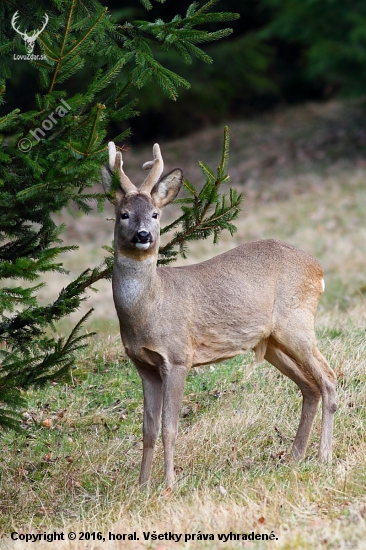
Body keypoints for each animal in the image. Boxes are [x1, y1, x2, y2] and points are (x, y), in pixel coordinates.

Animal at [101, 141, 336, 488]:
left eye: (156, 214)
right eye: (124, 214)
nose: (144, 235)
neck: (149, 308)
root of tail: (318, 269)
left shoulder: (178, 356)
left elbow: (170, 427)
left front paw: (169, 485)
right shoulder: (143, 365)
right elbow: (148, 429)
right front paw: (141, 486)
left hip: (297, 322)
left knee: (328, 379)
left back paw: (323, 455)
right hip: (272, 341)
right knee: (309, 385)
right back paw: (294, 457)